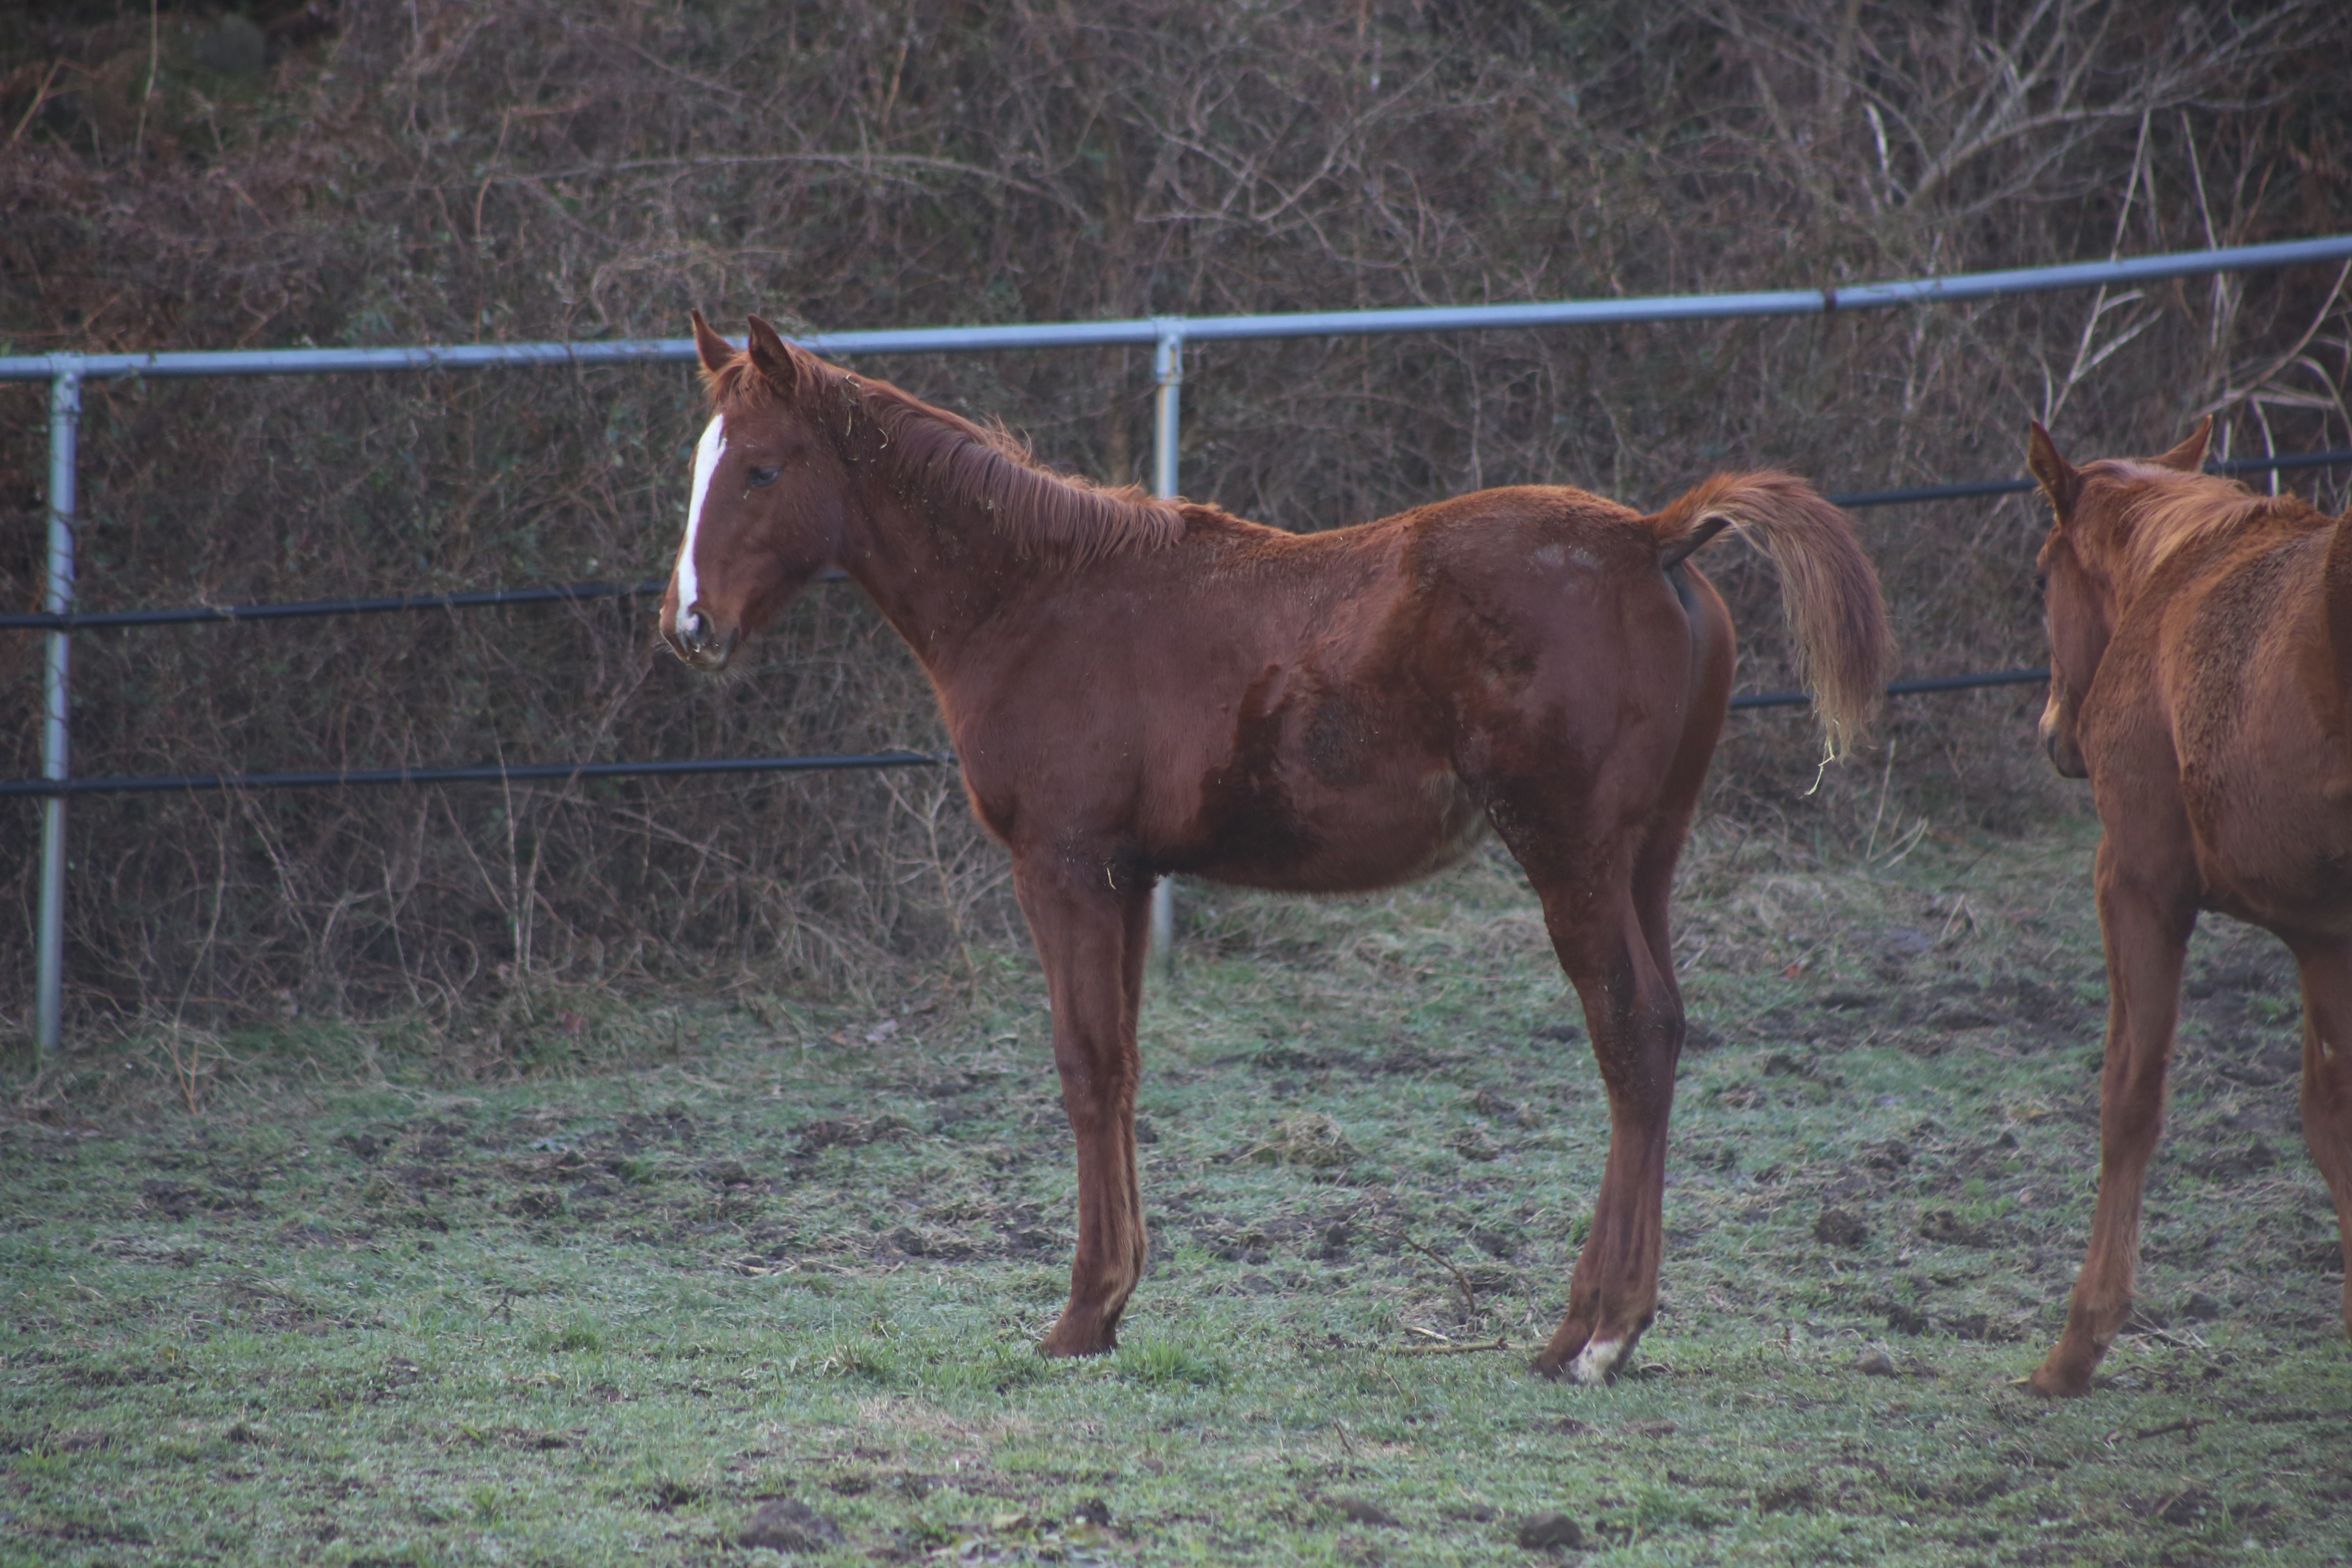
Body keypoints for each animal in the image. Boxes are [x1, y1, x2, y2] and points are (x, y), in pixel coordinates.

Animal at [659, 312, 1891, 1382]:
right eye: (702, 461)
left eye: (761, 468)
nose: (689, 627)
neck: (1041, 598)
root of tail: (1650, 537)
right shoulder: (1128, 876)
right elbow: (1121, 1064)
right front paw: (1114, 1301)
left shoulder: (1063, 864)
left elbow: (1081, 1065)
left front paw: (1076, 1317)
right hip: (1647, 857)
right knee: (1665, 1029)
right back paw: (1597, 1325)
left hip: (1571, 854)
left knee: (1627, 1036)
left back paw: (1591, 1336)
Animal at [2023, 421, 2352, 1401]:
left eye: (2041, 579)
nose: (2053, 732)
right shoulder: (2321, 933)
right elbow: (2330, 1116)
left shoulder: (2135, 883)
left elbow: (2128, 1095)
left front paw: (2078, 1343)